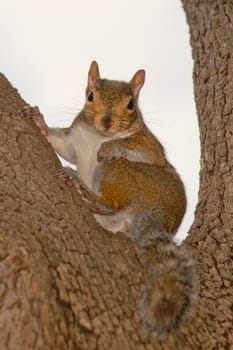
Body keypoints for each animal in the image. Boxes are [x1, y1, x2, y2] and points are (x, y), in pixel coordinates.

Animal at [27, 60, 197, 340]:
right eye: (90, 96)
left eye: (131, 104)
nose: (107, 122)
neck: (98, 136)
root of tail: (157, 221)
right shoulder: (74, 141)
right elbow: (61, 146)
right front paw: (39, 122)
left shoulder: (149, 147)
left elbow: (140, 151)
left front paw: (109, 148)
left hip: (121, 173)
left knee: (112, 203)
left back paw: (85, 189)